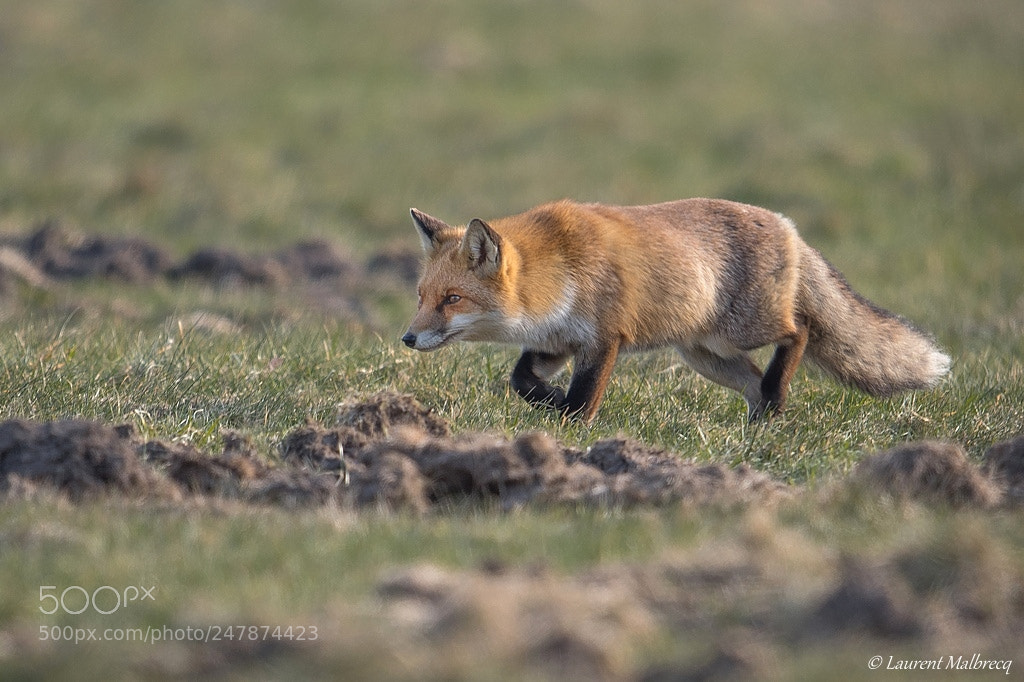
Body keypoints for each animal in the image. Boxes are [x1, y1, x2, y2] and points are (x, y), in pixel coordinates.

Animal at [401, 199, 950, 423]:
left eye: (452, 300)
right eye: (422, 297)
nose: (407, 338)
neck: (558, 271)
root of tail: (787, 224)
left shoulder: (603, 339)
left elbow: (584, 397)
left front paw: (569, 423)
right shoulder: (556, 342)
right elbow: (521, 381)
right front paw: (551, 402)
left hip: (743, 330)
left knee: (801, 330)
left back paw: (775, 398)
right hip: (705, 355)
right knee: (756, 382)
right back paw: (762, 423)